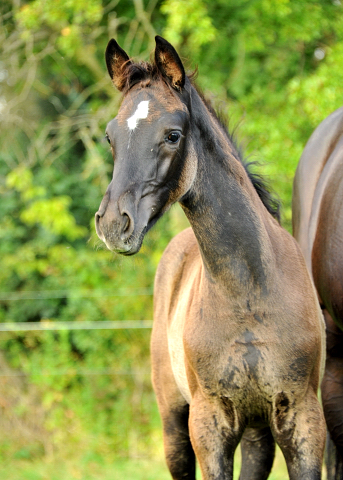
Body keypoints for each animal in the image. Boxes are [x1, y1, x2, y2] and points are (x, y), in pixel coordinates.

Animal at [95, 35, 326, 478]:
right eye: (110, 137)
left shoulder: (304, 418)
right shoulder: (209, 424)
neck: (247, 293)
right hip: (174, 418)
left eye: (172, 135)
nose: (114, 223)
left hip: (256, 429)